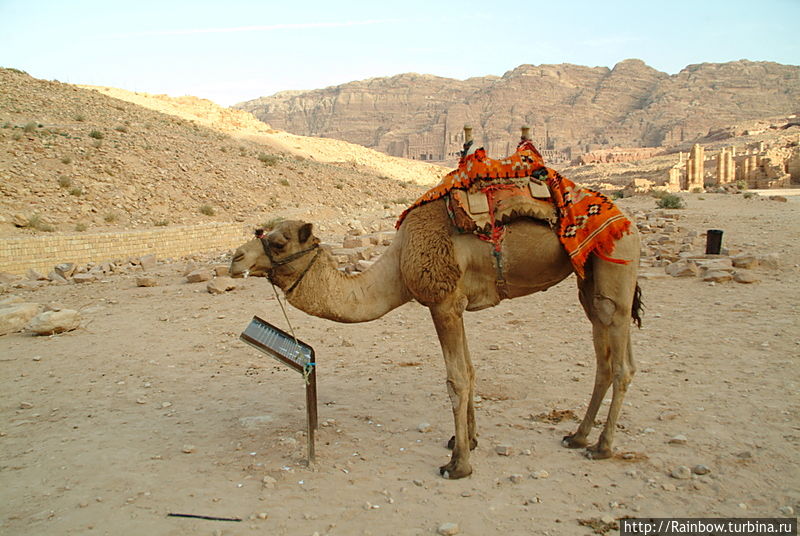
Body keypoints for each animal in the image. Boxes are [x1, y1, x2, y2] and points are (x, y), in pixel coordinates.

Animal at [228, 195, 640, 480]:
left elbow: (456, 379)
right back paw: (578, 436)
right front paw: (466, 440)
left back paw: (601, 447)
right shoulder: (456, 305)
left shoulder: (442, 302)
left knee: (621, 366)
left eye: (278, 242)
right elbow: (470, 371)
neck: (397, 265)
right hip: (591, 281)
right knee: (607, 357)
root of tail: (627, 221)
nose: (234, 258)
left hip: (616, 264)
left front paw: (458, 465)